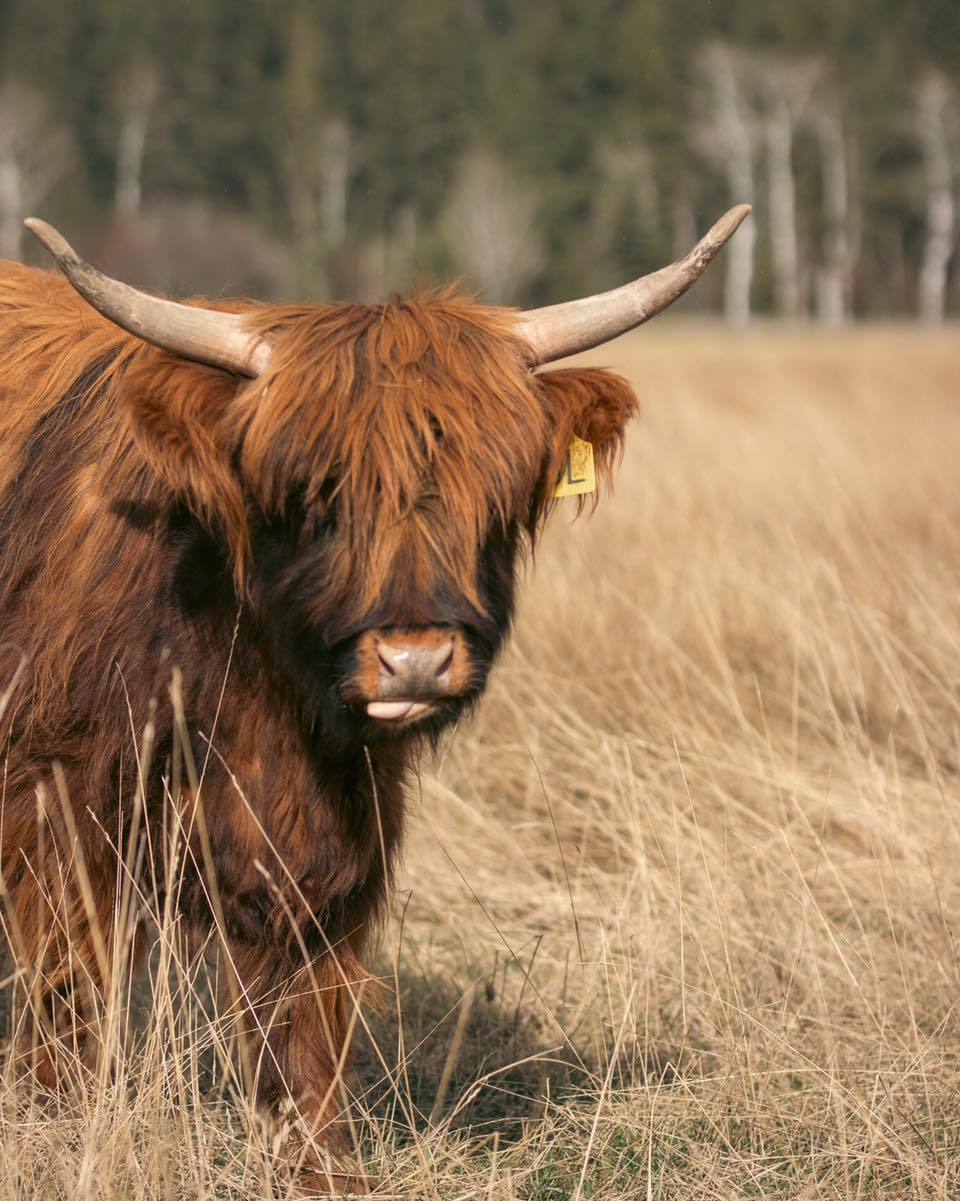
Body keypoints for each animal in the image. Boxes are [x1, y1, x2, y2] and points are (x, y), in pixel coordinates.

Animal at [0, 205, 748, 1191]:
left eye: (493, 500)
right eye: (317, 495)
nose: (416, 660)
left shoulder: (330, 833)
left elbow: (303, 1023)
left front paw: (323, 1169)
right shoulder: (55, 808)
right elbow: (65, 999)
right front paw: (56, 1136)